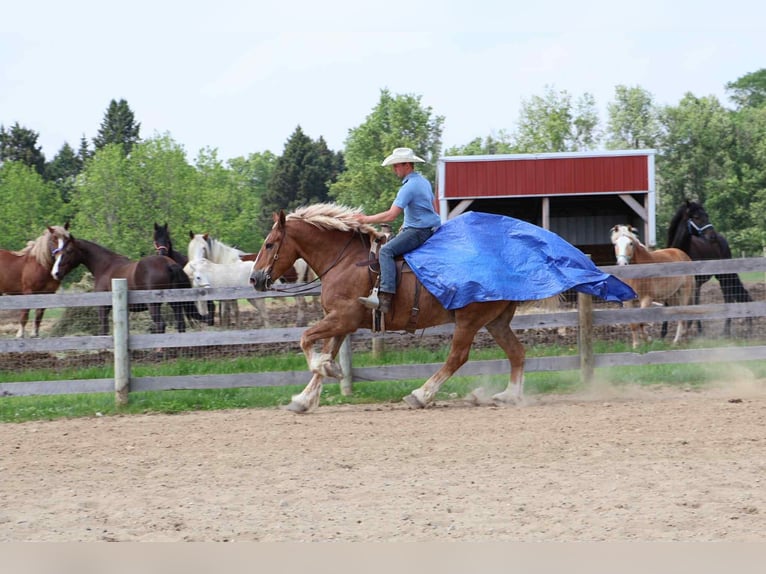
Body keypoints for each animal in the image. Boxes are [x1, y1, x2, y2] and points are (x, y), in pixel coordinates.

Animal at [50, 233, 210, 335]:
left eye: (68, 251)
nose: (56, 273)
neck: (106, 266)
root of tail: (169, 264)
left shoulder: (103, 307)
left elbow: (104, 329)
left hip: (154, 306)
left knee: (161, 325)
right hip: (175, 303)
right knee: (180, 324)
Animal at [666, 200, 753, 337]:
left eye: (706, 215)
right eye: (696, 217)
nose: (712, 236)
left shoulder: (695, 283)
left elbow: (694, 305)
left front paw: (694, 330)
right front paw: (663, 334)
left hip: (724, 277)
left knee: (728, 299)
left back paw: (726, 331)